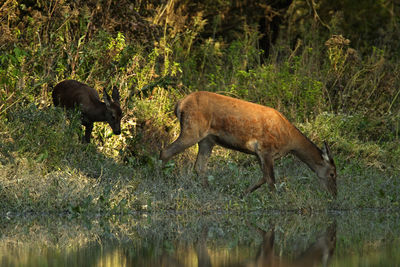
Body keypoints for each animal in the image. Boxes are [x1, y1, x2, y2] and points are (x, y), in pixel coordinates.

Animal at [159, 91, 338, 198]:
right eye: (332, 174)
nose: (334, 194)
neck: (289, 141)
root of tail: (180, 103)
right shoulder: (266, 149)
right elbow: (271, 179)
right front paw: (276, 199)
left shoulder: (259, 153)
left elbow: (264, 177)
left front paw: (243, 194)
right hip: (193, 129)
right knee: (165, 151)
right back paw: (160, 180)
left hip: (207, 139)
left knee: (199, 166)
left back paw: (208, 190)